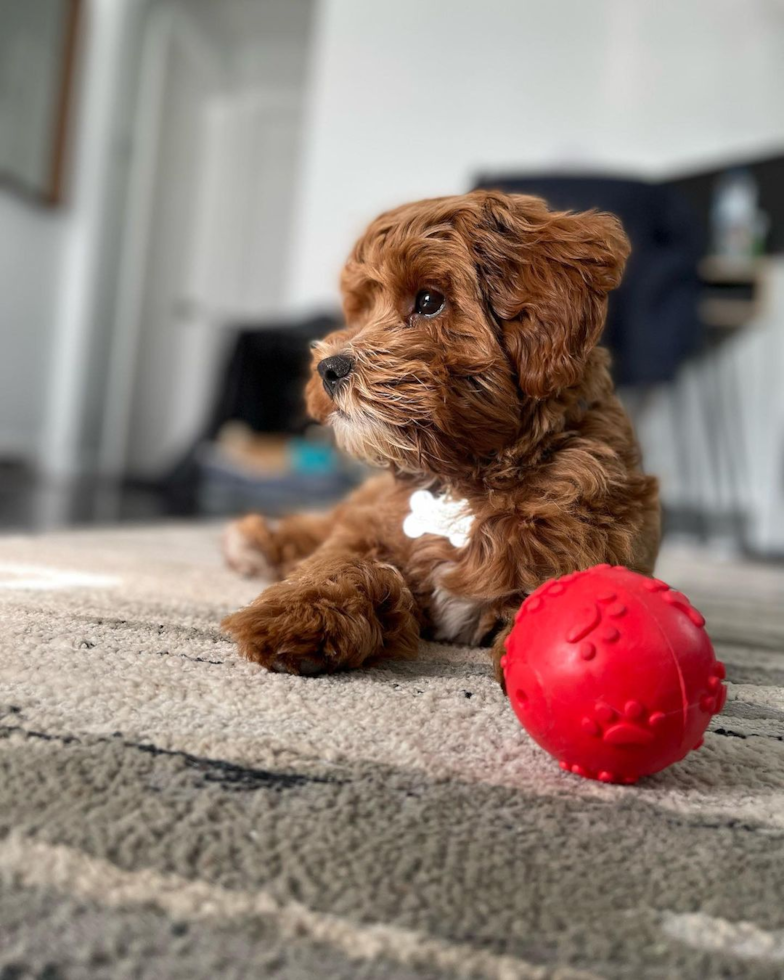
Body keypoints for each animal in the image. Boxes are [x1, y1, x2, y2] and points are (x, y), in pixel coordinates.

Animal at [222, 189, 660, 680]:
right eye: (363, 307)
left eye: (429, 301)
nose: (328, 369)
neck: (464, 478)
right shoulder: (372, 525)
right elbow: (337, 556)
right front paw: (302, 611)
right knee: (323, 522)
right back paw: (255, 543)